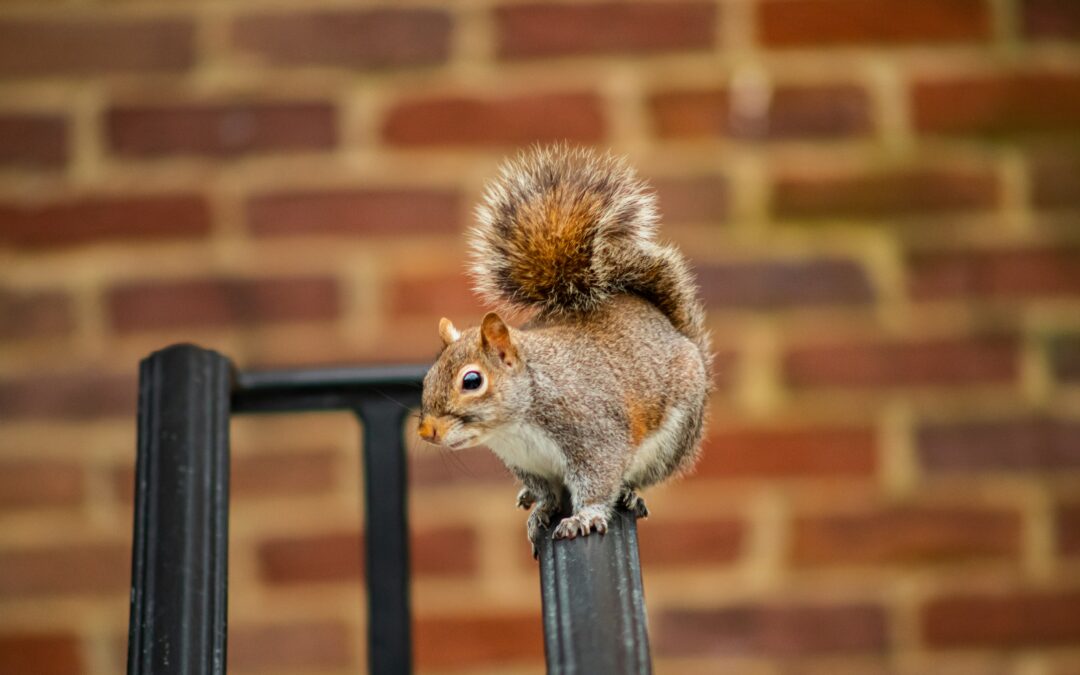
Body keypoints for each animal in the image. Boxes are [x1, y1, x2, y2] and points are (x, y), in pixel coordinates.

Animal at [418, 145, 711, 552]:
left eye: (472, 381)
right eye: (427, 377)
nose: (426, 431)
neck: (517, 424)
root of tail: (676, 332)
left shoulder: (594, 435)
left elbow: (597, 482)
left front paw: (583, 517)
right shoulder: (529, 465)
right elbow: (547, 494)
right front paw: (541, 509)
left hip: (675, 436)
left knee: (639, 476)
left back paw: (630, 493)